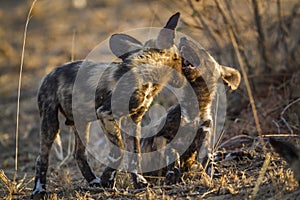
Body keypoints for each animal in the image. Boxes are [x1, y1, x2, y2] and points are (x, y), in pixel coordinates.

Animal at [32, 12, 183, 195]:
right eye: (181, 59)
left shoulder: (133, 119)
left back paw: (93, 181)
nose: (185, 77)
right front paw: (108, 181)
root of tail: (50, 73)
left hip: (82, 124)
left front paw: (138, 182)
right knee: (41, 157)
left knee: (79, 154)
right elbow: (119, 153)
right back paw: (39, 190)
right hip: (51, 124)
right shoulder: (106, 114)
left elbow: (135, 155)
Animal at [141, 36, 241, 184]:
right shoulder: (162, 137)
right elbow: (172, 153)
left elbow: (207, 159)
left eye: (203, 50)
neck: (196, 105)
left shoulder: (204, 136)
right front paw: (173, 174)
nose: (183, 37)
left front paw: (211, 174)